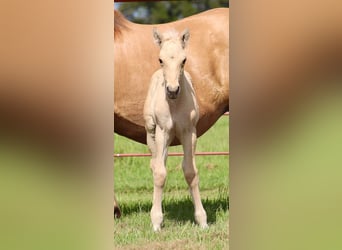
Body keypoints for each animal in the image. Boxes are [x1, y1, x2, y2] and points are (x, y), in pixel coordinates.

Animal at [143, 27, 207, 230]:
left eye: (184, 60)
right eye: (160, 59)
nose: (172, 90)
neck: (174, 105)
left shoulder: (189, 132)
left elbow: (190, 171)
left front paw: (202, 220)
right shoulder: (162, 131)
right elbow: (160, 173)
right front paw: (156, 221)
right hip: (152, 134)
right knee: (156, 165)